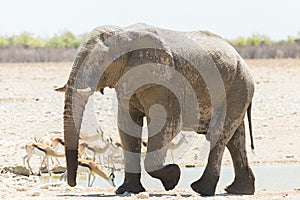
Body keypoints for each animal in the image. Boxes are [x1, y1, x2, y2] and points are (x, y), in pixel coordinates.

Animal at [63, 23, 255, 195]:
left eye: (102, 61)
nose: (72, 183)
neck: (125, 33)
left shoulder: (166, 82)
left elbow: (167, 123)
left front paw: (173, 177)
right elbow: (127, 127)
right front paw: (126, 190)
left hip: (239, 85)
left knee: (218, 134)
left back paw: (201, 190)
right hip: (237, 88)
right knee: (235, 139)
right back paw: (239, 190)